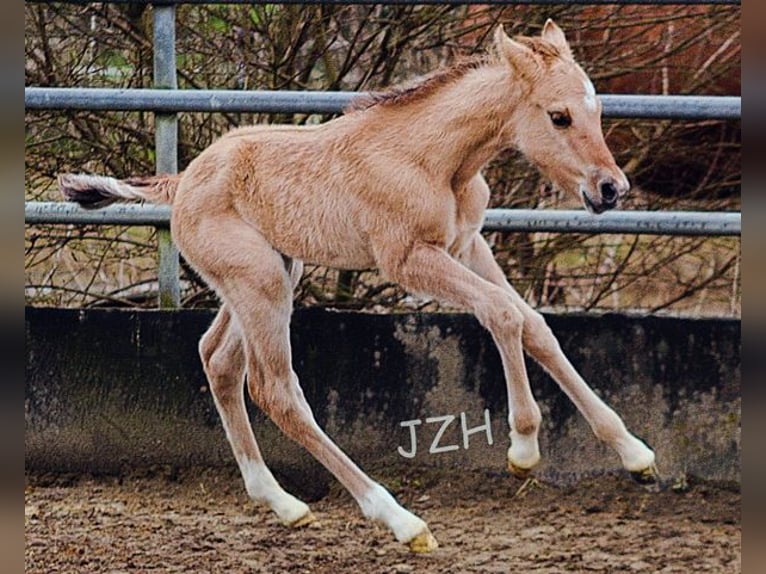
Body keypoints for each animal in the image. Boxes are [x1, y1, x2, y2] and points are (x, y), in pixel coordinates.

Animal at [61, 21, 660, 552]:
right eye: (559, 116)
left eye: (598, 110)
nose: (611, 189)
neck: (433, 158)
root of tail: (181, 181)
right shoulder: (410, 260)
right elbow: (502, 314)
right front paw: (523, 448)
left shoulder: (468, 246)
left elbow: (535, 325)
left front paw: (636, 456)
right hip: (260, 285)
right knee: (276, 391)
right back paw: (401, 521)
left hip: (270, 277)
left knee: (218, 361)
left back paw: (284, 504)